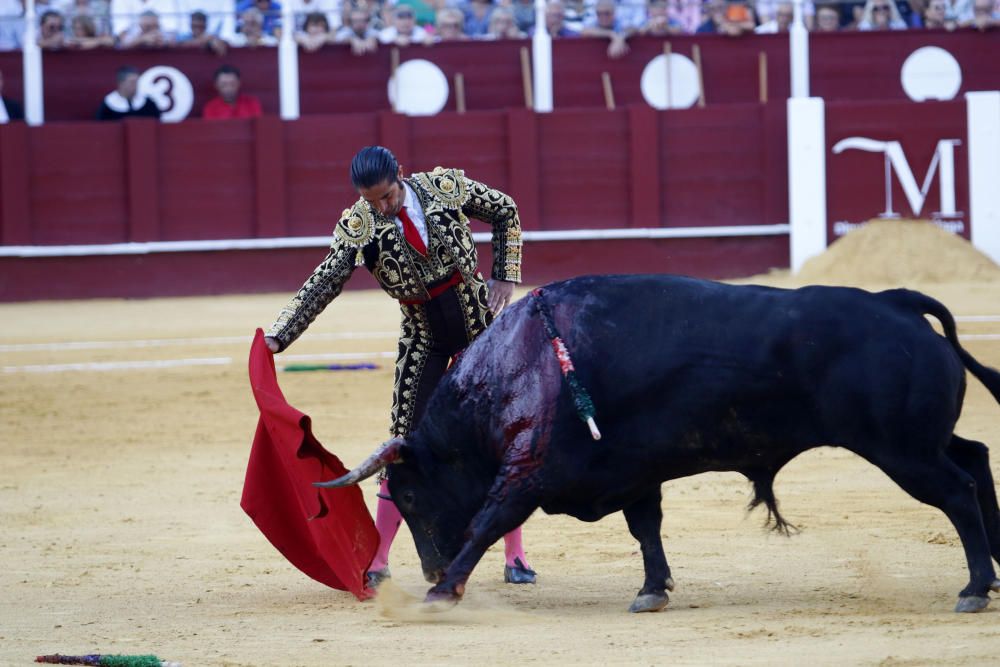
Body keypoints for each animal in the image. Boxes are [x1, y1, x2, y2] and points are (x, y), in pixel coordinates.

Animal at [318, 274, 1000, 612]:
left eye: (410, 493)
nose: (431, 565)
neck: (519, 365)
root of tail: (897, 302)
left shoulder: (528, 474)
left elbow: (488, 522)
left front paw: (443, 591)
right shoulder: (631, 472)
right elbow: (646, 527)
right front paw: (652, 590)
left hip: (901, 450)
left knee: (958, 490)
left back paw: (973, 588)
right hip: (918, 443)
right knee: (974, 455)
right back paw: (994, 567)